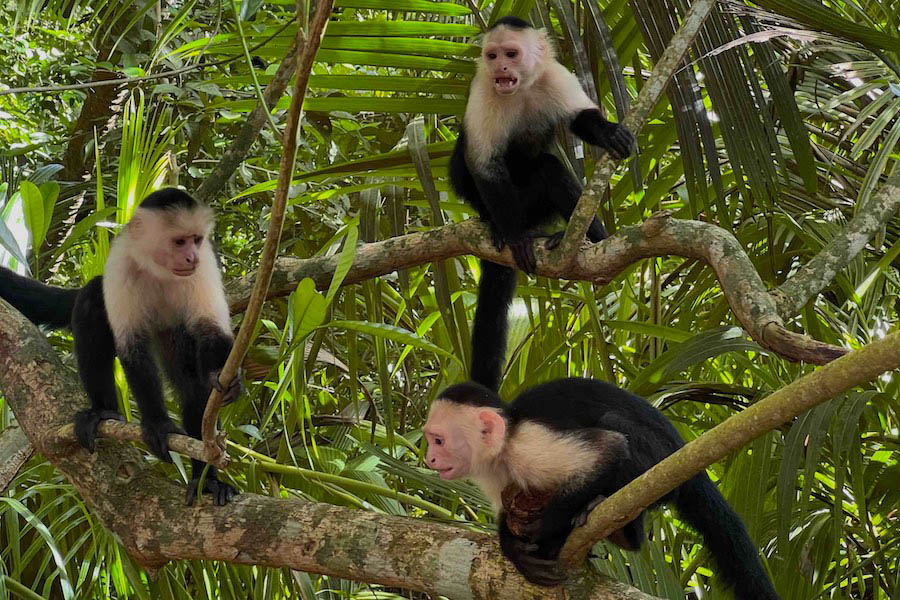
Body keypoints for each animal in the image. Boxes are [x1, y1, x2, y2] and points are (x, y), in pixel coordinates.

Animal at [0, 188, 242, 505]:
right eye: (179, 241)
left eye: (196, 239)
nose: (191, 257)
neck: (159, 270)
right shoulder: (121, 264)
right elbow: (132, 348)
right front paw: (158, 426)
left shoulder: (204, 267)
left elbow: (211, 330)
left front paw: (226, 379)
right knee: (91, 301)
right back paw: (102, 412)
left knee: (192, 383)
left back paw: (207, 480)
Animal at [423, 379, 780, 599]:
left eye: (438, 440)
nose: (429, 458)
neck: (505, 444)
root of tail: (686, 454)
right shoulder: (492, 473)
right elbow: (503, 514)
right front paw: (514, 548)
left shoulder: (529, 446)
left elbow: (610, 449)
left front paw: (544, 532)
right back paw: (626, 535)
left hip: (662, 460)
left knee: (616, 428)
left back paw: (595, 508)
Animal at [449, 16, 636, 391]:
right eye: (491, 56)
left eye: (510, 54)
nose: (500, 67)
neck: (521, 88)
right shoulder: (483, 91)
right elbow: (485, 165)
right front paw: (516, 237)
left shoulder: (556, 76)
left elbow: (581, 117)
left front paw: (608, 131)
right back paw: (501, 227)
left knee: (550, 168)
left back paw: (588, 238)